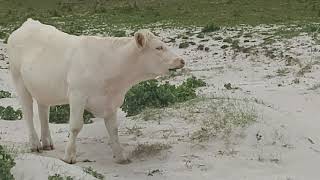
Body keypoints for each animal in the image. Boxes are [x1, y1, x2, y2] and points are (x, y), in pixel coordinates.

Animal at [6, 18, 185, 165]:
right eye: (158, 47)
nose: (181, 60)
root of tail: (27, 23)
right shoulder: (77, 95)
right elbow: (75, 126)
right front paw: (69, 156)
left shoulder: (111, 102)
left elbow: (113, 129)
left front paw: (120, 156)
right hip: (19, 81)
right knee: (28, 113)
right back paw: (35, 144)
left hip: (43, 86)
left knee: (43, 111)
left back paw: (47, 142)